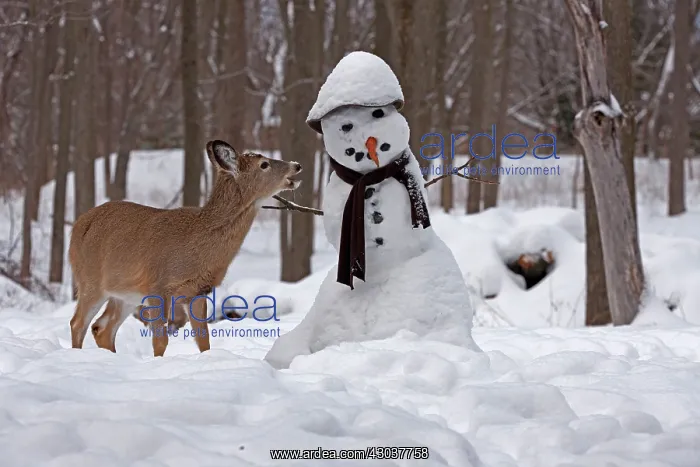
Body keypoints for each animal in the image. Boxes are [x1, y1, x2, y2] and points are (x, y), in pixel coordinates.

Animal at [68, 139, 302, 356]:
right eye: (264, 164)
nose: (297, 165)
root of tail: (78, 226)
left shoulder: (197, 291)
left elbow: (204, 340)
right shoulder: (157, 285)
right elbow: (160, 340)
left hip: (125, 293)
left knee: (102, 328)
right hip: (90, 280)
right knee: (78, 322)